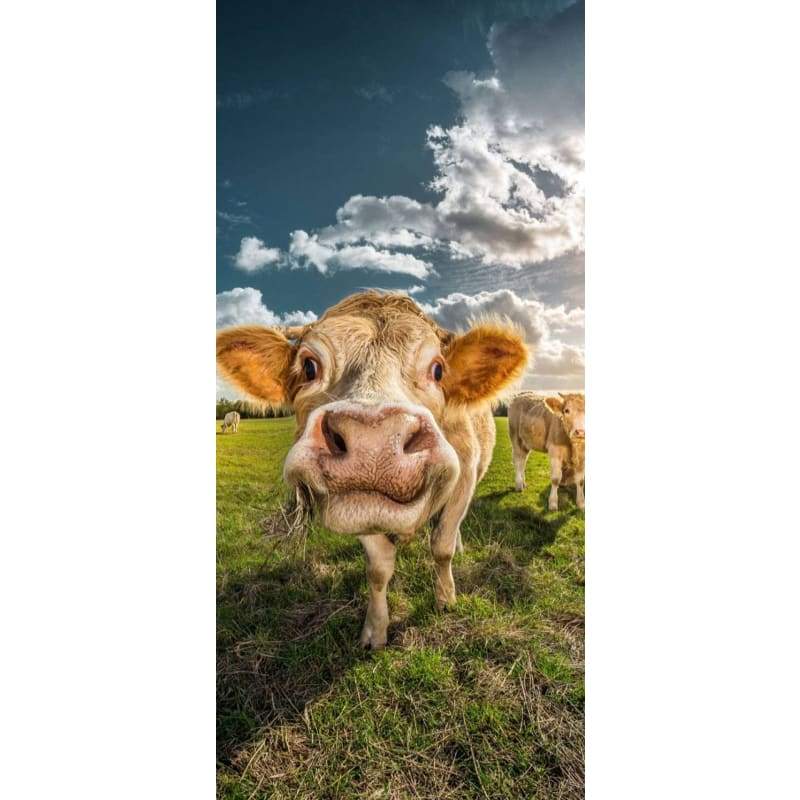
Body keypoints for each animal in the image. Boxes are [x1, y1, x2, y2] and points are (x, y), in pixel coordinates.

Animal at [216, 291, 529, 649]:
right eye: (309, 366)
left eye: (438, 370)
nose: (374, 443)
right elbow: (379, 569)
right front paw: (375, 631)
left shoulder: (464, 478)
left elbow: (442, 547)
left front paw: (446, 599)